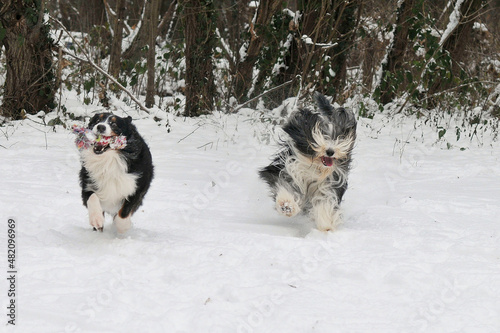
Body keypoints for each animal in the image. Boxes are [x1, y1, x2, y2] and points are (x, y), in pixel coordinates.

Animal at [260, 93, 358, 231]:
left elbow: (325, 202)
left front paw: (326, 224)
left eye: (339, 137)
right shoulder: (286, 169)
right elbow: (283, 185)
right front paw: (287, 205)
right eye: (318, 134)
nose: (330, 151)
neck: (315, 167)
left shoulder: (330, 183)